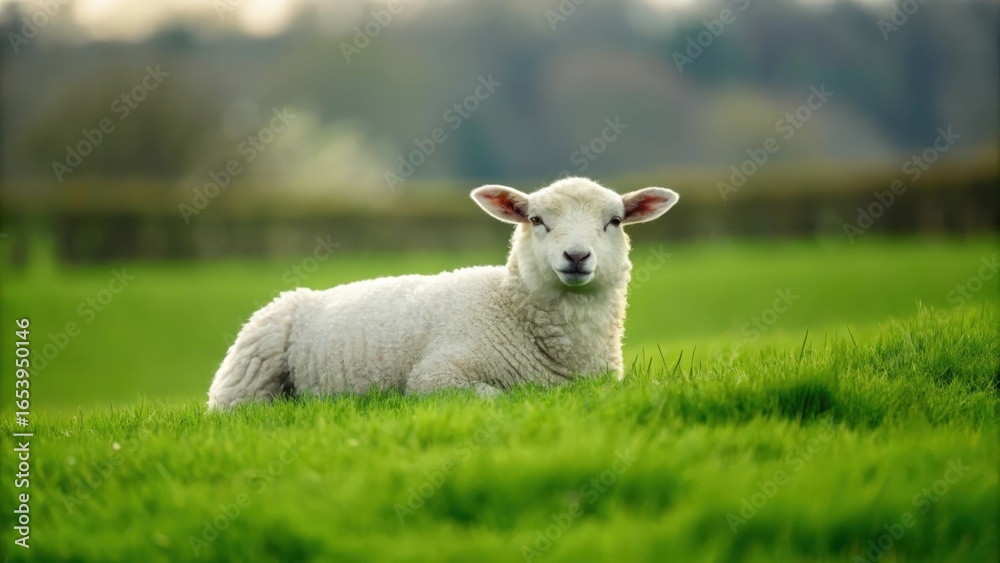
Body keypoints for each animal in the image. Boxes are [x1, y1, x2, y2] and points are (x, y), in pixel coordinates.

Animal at [207, 177, 679, 409]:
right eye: (536, 219)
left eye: (615, 221)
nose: (577, 256)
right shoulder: (436, 376)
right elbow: (498, 396)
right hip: (248, 373)